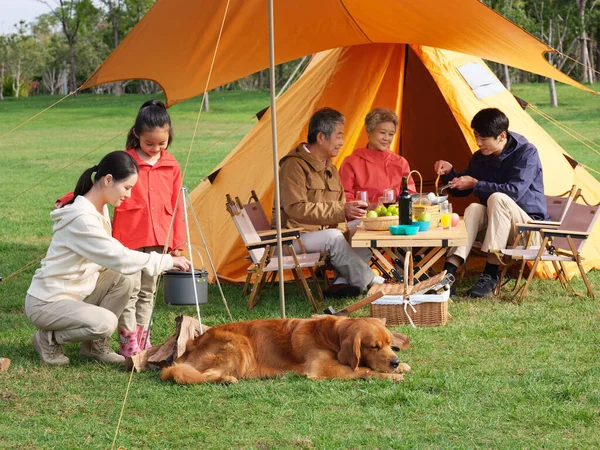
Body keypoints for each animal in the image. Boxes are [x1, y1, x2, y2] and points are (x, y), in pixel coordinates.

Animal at [161, 314, 408, 384]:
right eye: (374, 346)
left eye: (389, 344)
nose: (394, 361)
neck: (331, 336)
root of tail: (192, 342)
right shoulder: (322, 369)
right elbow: (363, 370)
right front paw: (391, 376)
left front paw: (402, 365)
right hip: (239, 347)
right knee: (202, 375)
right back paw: (226, 379)